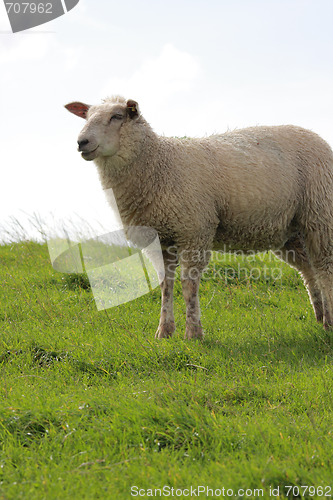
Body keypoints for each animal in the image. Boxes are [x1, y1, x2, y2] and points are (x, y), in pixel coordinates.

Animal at [64, 95, 332, 338]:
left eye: (117, 116)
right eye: (87, 117)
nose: (81, 142)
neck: (158, 164)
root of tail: (317, 137)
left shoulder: (194, 230)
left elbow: (188, 285)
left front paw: (193, 333)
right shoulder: (159, 239)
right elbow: (166, 284)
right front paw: (164, 331)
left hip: (320, 215)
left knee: (324, 268)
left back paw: (329, 322)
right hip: (290, 231)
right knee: (310, 272)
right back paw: (321, 316)